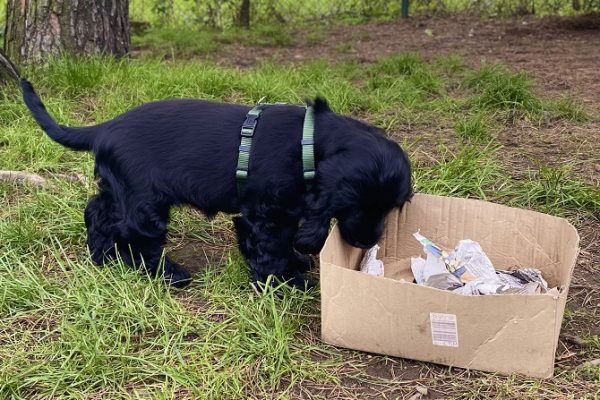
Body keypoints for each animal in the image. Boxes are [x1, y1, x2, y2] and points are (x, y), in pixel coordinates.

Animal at [1, 54, 412, 290]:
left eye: (389, 207)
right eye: (357, 206)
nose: (366, 242)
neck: (308, 142)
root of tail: (103, 128)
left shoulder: (283, 211)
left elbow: (281, 242)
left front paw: (292, 267)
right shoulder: (265, 214)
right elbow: (271, 248)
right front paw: (284, 282)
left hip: (118, 189)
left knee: (97, 211)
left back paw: (101, 256)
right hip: (146, 203)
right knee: (137, 237)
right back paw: (167, 274)